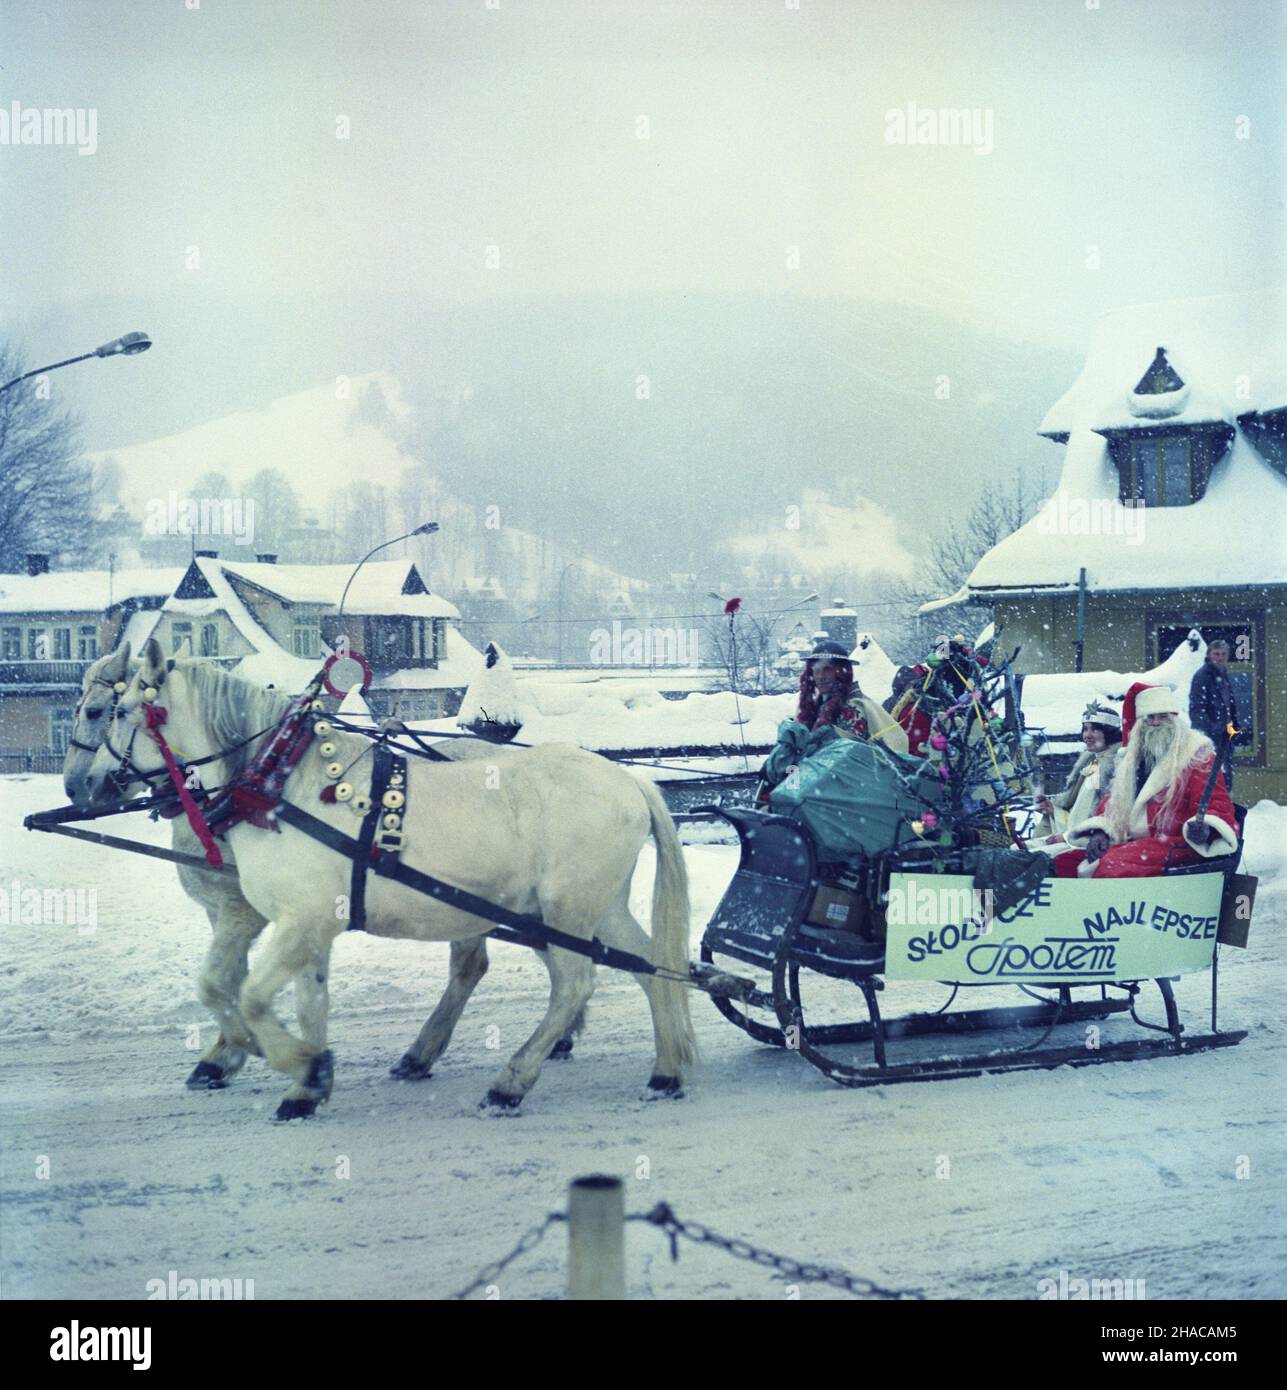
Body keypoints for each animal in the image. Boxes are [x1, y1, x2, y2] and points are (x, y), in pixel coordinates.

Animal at [85, 639, 700, 1117]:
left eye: (115, 712)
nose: (88, 784)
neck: (279, 783)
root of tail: (627, 779)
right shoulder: (308, 927)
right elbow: (304, 999)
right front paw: (305, 1086)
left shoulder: (297, 920)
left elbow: (251, 996)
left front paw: (293, 1062)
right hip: (595, 907)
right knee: (652, 970)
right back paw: (665, 1073)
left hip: (567, 909)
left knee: (574, 984)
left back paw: (511, 1082)